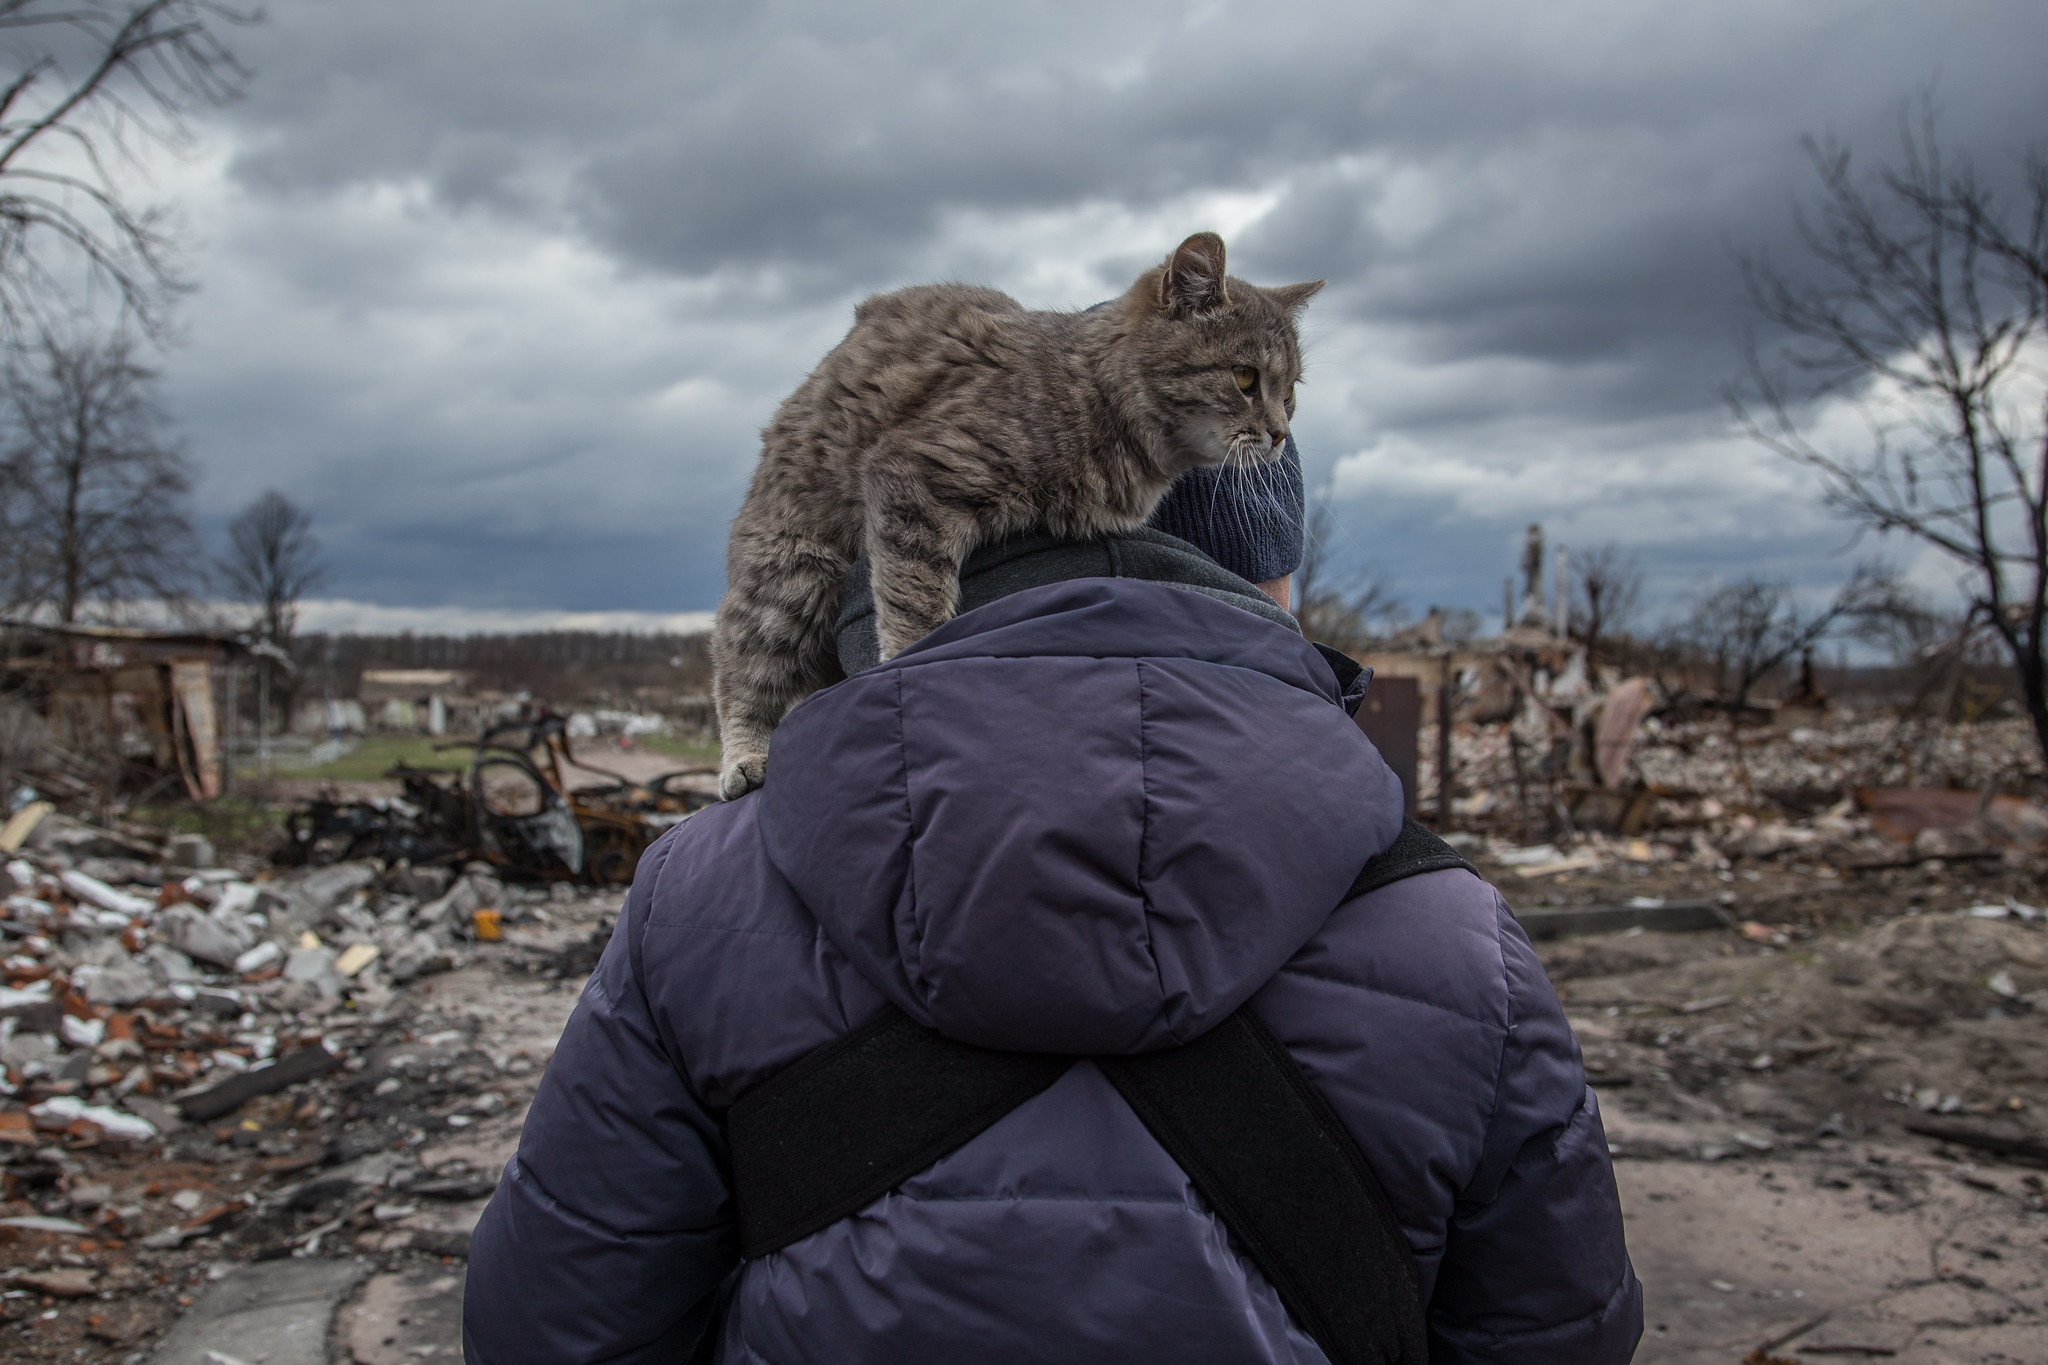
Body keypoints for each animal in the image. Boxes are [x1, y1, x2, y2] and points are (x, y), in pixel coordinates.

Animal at [712, 229, 1318, 794]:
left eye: (1291, 393)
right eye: (1245, 378)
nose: (1279, 434)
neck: (1094, 392)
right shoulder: (915, 472)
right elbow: (916, 607)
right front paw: (911, 666)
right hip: (791, 574)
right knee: (737, 665)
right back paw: (744, 757)